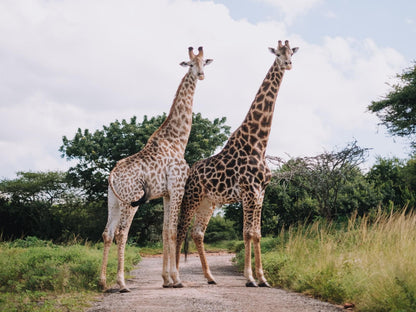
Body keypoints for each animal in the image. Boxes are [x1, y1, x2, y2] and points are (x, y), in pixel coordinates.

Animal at [99, 46, 213, 292]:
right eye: (191, 64)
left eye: (204, 63)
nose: (201, 75)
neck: (177, 141)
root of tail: (112, 174)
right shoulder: (178, 188)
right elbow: (172, 231)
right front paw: (176, 279)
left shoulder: (166, 194)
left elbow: (164, 231)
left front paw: (166, 280)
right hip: (129, 201)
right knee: (121, 233)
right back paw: (121, 283)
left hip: (113, 201)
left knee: (107, 233)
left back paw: (102, 281)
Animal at [176, 39, 300, 288]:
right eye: (278, 53)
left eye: (292, 53)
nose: (289, 64)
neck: (259, 143)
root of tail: (190, 171)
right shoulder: (248, 191)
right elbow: (247, 233)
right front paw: (250, 278)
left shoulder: (261, 193)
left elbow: (257, 233)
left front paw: (263, 278)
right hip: (192, 198)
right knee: (180, 229)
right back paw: (174, 277)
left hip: (209, 202)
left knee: (197, 233)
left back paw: (210, 277)